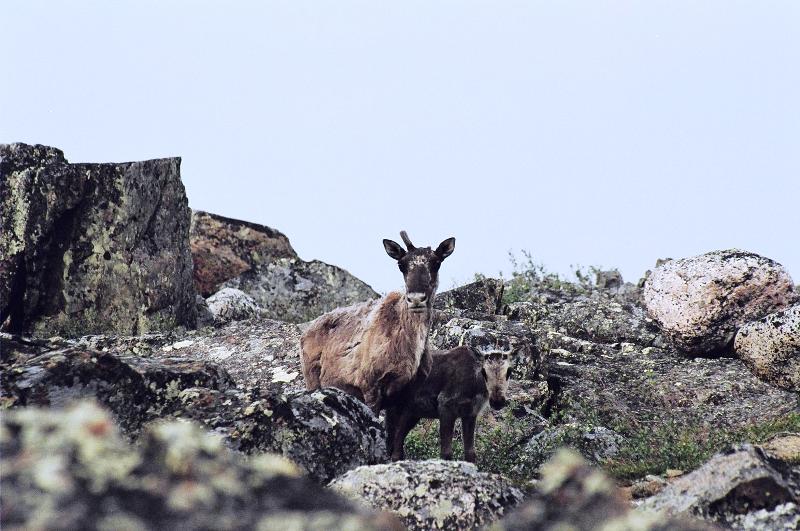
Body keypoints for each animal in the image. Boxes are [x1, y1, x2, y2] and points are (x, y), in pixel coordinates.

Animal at [300, 231, 456, 423]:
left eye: (437, 262)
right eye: (401, 265)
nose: (416, 299)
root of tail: (304, 333)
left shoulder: (408, 395)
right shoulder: (369, 385)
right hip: (312, 382)